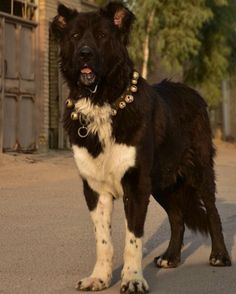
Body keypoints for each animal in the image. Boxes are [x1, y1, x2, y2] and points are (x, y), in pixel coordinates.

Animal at [51, 1, 230, 292]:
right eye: (75, 36)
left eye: (101, 35)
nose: (84, 54)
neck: (102, 103)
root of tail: (192, 92)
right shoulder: (95, 188)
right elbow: (103, 240)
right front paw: (100, 278)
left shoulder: (135, 186)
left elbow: (133, 240)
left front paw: (133, 279)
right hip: (162, 183)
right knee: (177, 218)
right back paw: (171, 257)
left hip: (199, 171)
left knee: (212, 212)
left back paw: (220, 255)